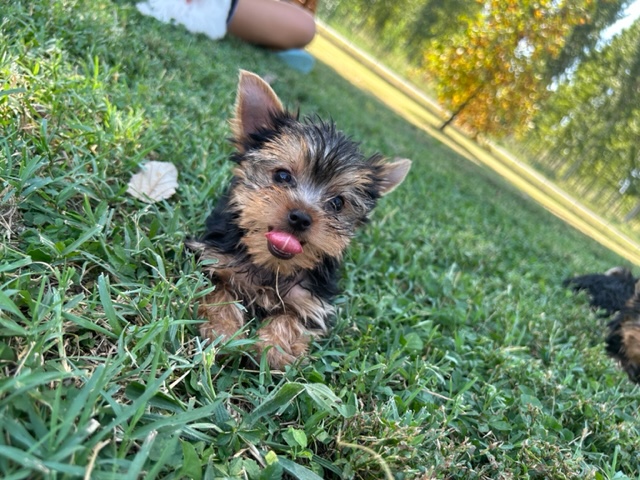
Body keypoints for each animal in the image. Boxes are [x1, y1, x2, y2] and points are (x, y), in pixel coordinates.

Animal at [188, 70, 412, 368]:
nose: (301, 217)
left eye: (337, 203)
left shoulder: (311, 300)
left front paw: (275, 349)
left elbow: (293, 319)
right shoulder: (212, 258)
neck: (271, 266)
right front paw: (222, 330)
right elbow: (216, 290)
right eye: (282, 176)